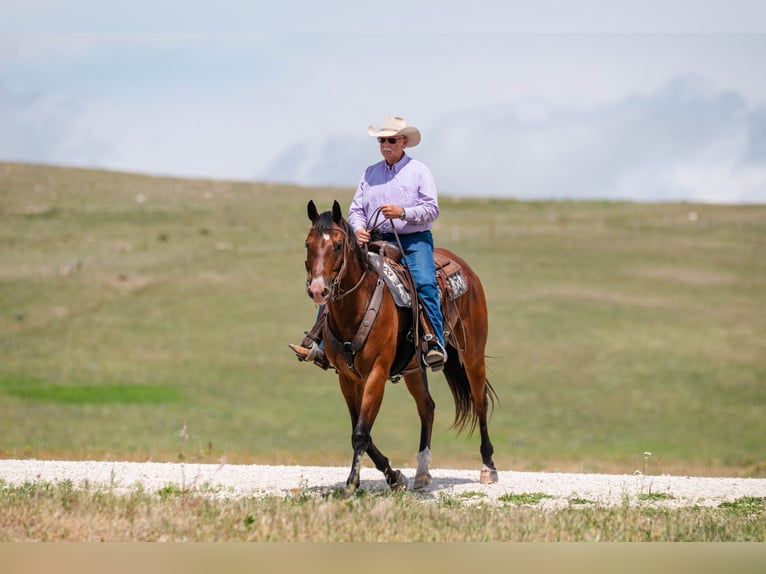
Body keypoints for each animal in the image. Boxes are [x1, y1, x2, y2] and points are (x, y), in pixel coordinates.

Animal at [302, 200, 498, 496]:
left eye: (337, 244)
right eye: (308, 244)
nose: (318, 291)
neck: (357, 308)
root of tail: (466, 271)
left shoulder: (377, 373)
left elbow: (361, 433)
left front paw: (351, 485)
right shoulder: (347, 378)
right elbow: (361, 430)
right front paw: (394, 477)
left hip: (473, 354)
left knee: (479, 402)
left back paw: (488, 467)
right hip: (413, 369)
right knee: (427, 407)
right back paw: (422, 472)